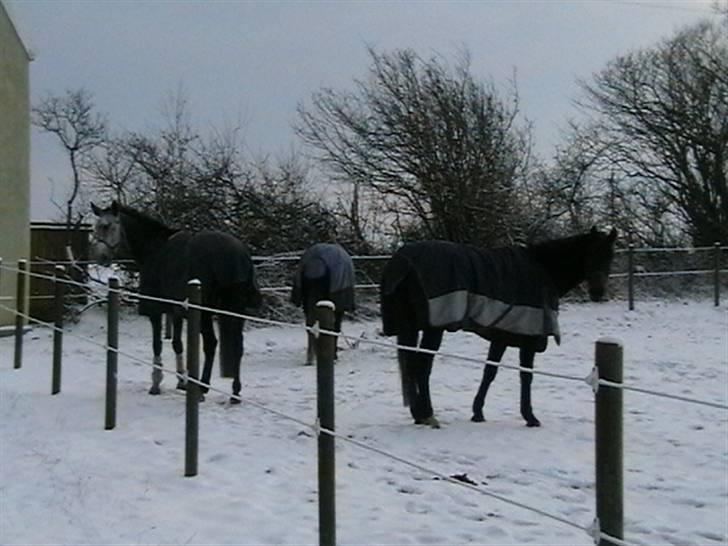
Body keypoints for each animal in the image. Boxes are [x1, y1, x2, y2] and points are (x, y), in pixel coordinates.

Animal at [90, 202, 262, 402]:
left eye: (107, 226)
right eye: (95, 227)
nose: (100, 257)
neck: (155, 248)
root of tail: (237, 256)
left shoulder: (156, 311)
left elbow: (157, 345)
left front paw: (156, 384)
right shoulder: (177, 311)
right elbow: (177, 344)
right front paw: (182, 381)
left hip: (206, 313)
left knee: (211, 344)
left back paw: (202, 388)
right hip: (236, 311)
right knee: (237, 346)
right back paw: (234, 392)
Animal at [378, 225, 616, 424]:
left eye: (609, 257)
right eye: (591, 254)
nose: (597, 292)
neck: (543, 269)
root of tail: (403, 262)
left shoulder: (501, 336)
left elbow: (489, 372)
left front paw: (477, 412)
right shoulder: (529, 339)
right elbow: (525, 375)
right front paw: (530, 417)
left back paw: (419, 414)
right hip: (434, 327)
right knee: (422, 366)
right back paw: (426, 414)